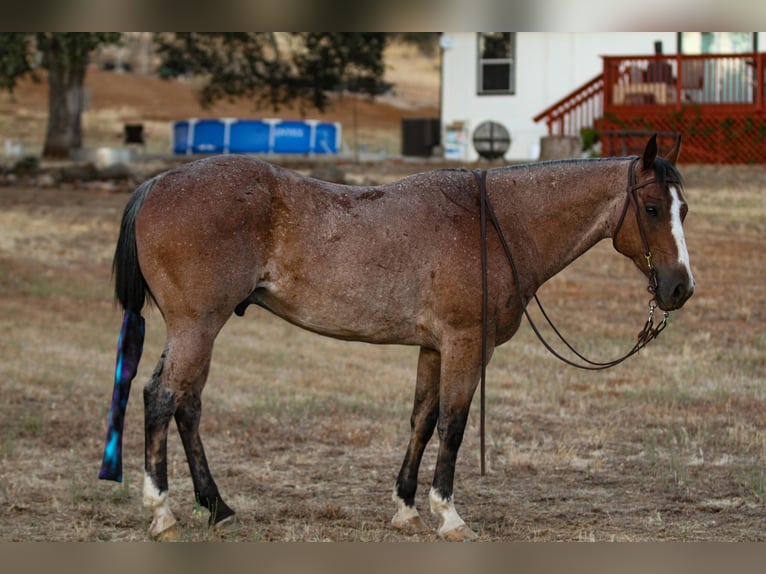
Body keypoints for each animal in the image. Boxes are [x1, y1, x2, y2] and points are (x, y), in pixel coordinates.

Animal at [99, 134, 694, 541]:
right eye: (651, 208)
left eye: (684, 208)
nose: (680, 287)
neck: (496, 222)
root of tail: (157, 184)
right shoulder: (465, 345)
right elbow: (453, 426)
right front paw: (448, 514)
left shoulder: (433, 348)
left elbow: (423, 421)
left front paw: (406, 506)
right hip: (197, 326)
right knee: (162, 398)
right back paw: (163, 512)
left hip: (197, 331)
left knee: (186, 405)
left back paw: (217, 507)